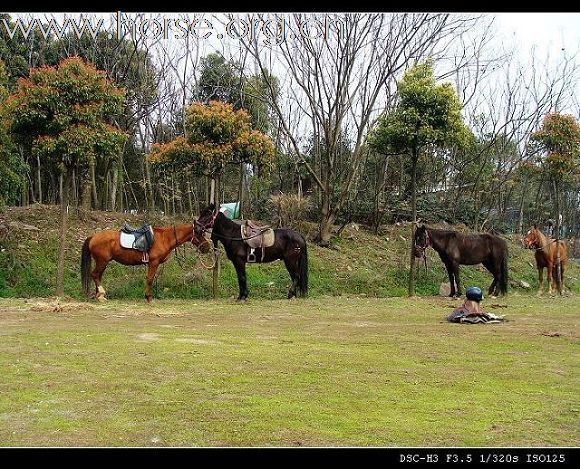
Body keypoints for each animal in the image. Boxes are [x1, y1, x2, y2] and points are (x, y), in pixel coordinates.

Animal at [80, 221, 210, 302]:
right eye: (199, 233)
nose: (207, 247)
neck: (164, 238)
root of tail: (93, 237)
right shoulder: (153, 263)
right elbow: (150, 279)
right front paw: (148, 297)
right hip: (102, 261)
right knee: (95, 275)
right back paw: (101, 294)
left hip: (102, 262)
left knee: (98, 276)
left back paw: (99, 296)